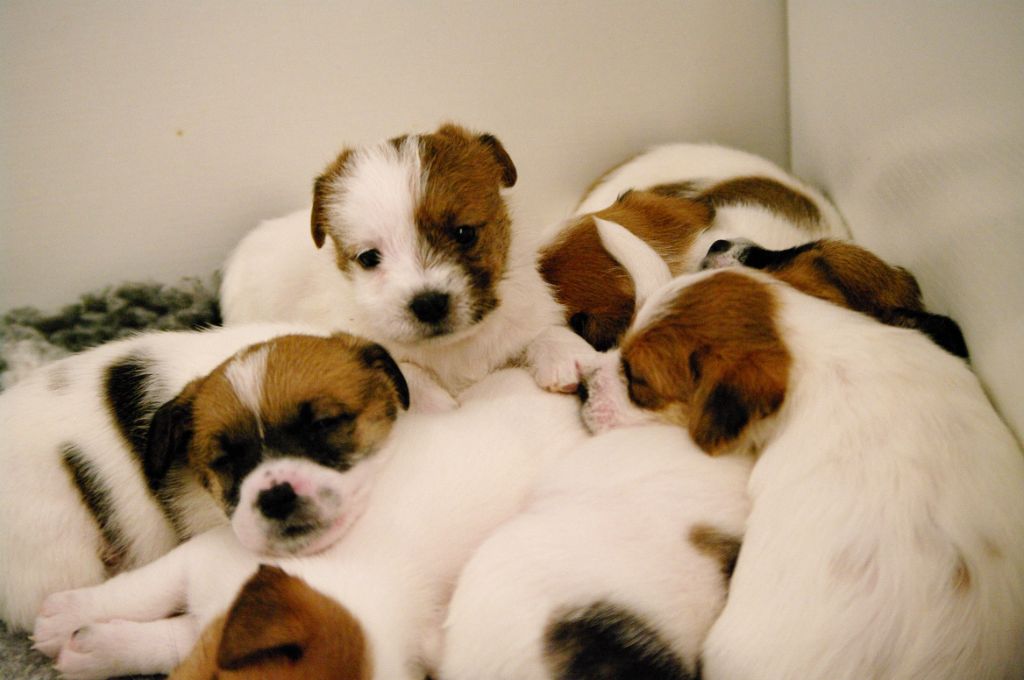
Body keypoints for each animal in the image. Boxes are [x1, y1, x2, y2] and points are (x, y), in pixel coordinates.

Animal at [220, 123, 593, 395]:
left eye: (464, 233)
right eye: (369, 258)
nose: (428, 304)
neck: (453, 349)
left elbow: (540, 330)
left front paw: (565, 352)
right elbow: (409, 372)